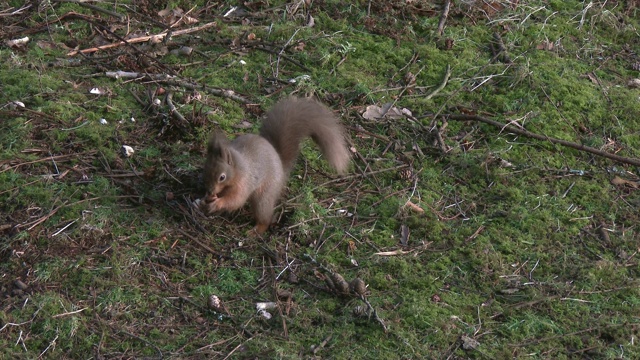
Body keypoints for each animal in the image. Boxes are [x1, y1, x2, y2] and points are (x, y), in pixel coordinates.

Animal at [199, 97, 350, 235]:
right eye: (205, 170)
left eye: (222, 177)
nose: (210, 191)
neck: (238, 169)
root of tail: (281, 166)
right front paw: (206, 199)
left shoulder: (244, 183)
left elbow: (236, 200)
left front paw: (217, 202)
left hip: (265, 196)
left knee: (265, 217)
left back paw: (256, 230)